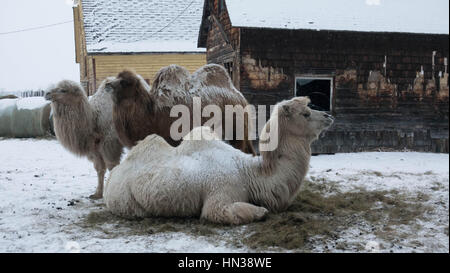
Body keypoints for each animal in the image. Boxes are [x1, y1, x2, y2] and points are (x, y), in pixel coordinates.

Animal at [103, 63, 255, 153]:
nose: (107, 84)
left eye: (125, 82)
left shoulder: (173, 139)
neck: (151, 114)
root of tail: (239, 96)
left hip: (237, 131)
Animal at [104, 95, 334, 223]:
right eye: (305, 113)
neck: (248, 174)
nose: (329, 116)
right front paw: (260, 211)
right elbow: (225, 212)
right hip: (125, 202)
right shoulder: (220, 196)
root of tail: (113, 175)